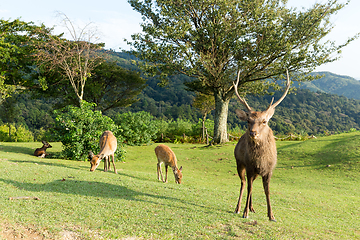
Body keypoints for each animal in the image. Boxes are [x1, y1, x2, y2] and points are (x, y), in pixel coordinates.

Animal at [233, 69, 290, 221]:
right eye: (248, 121)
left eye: (264, 121)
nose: (252, 133)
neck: (260, 159)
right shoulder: (249, 166)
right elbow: (249, 188)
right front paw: (245, 213)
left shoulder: (269, 169)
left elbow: (267, 191)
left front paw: (271, 215)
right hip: (239, 163)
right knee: (244, 183)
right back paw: (238, 208)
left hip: (256, 172)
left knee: (250, 184)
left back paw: (252, 207)